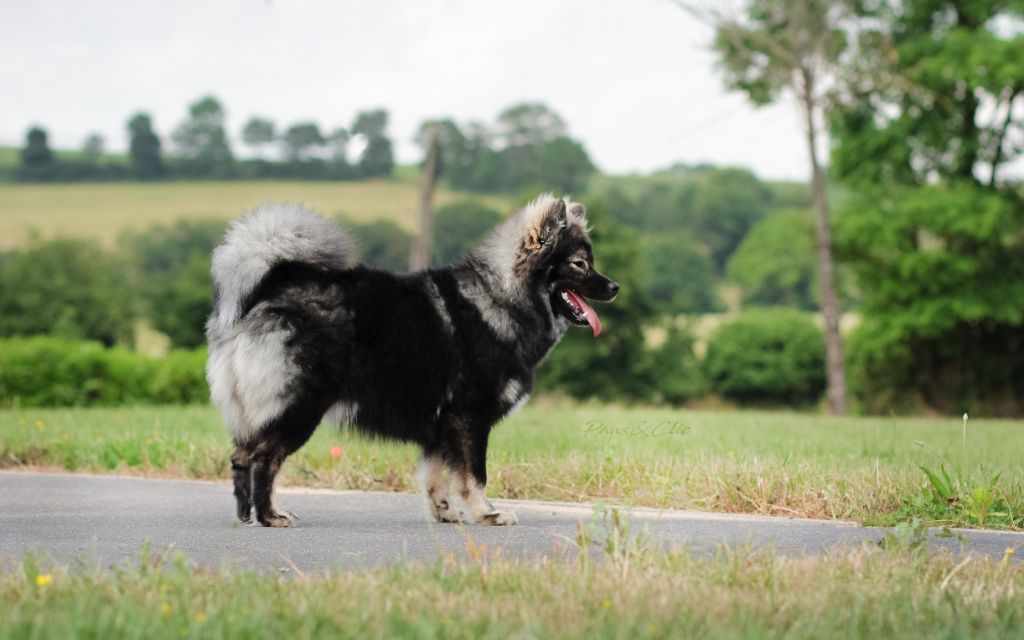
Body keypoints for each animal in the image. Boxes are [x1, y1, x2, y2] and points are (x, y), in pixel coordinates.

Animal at [205, 194, 618, 527]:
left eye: (590, 261)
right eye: (580, 264)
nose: (614, 287)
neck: (501, 298)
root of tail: (269, 291)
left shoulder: (440, 428)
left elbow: (436, 478)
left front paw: (446, 513)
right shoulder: (468, 419)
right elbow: (474, 476)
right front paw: (487, 514)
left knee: (240, 458)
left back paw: (246, 516)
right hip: (299, 409)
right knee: (263, 459)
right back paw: (270, 516)